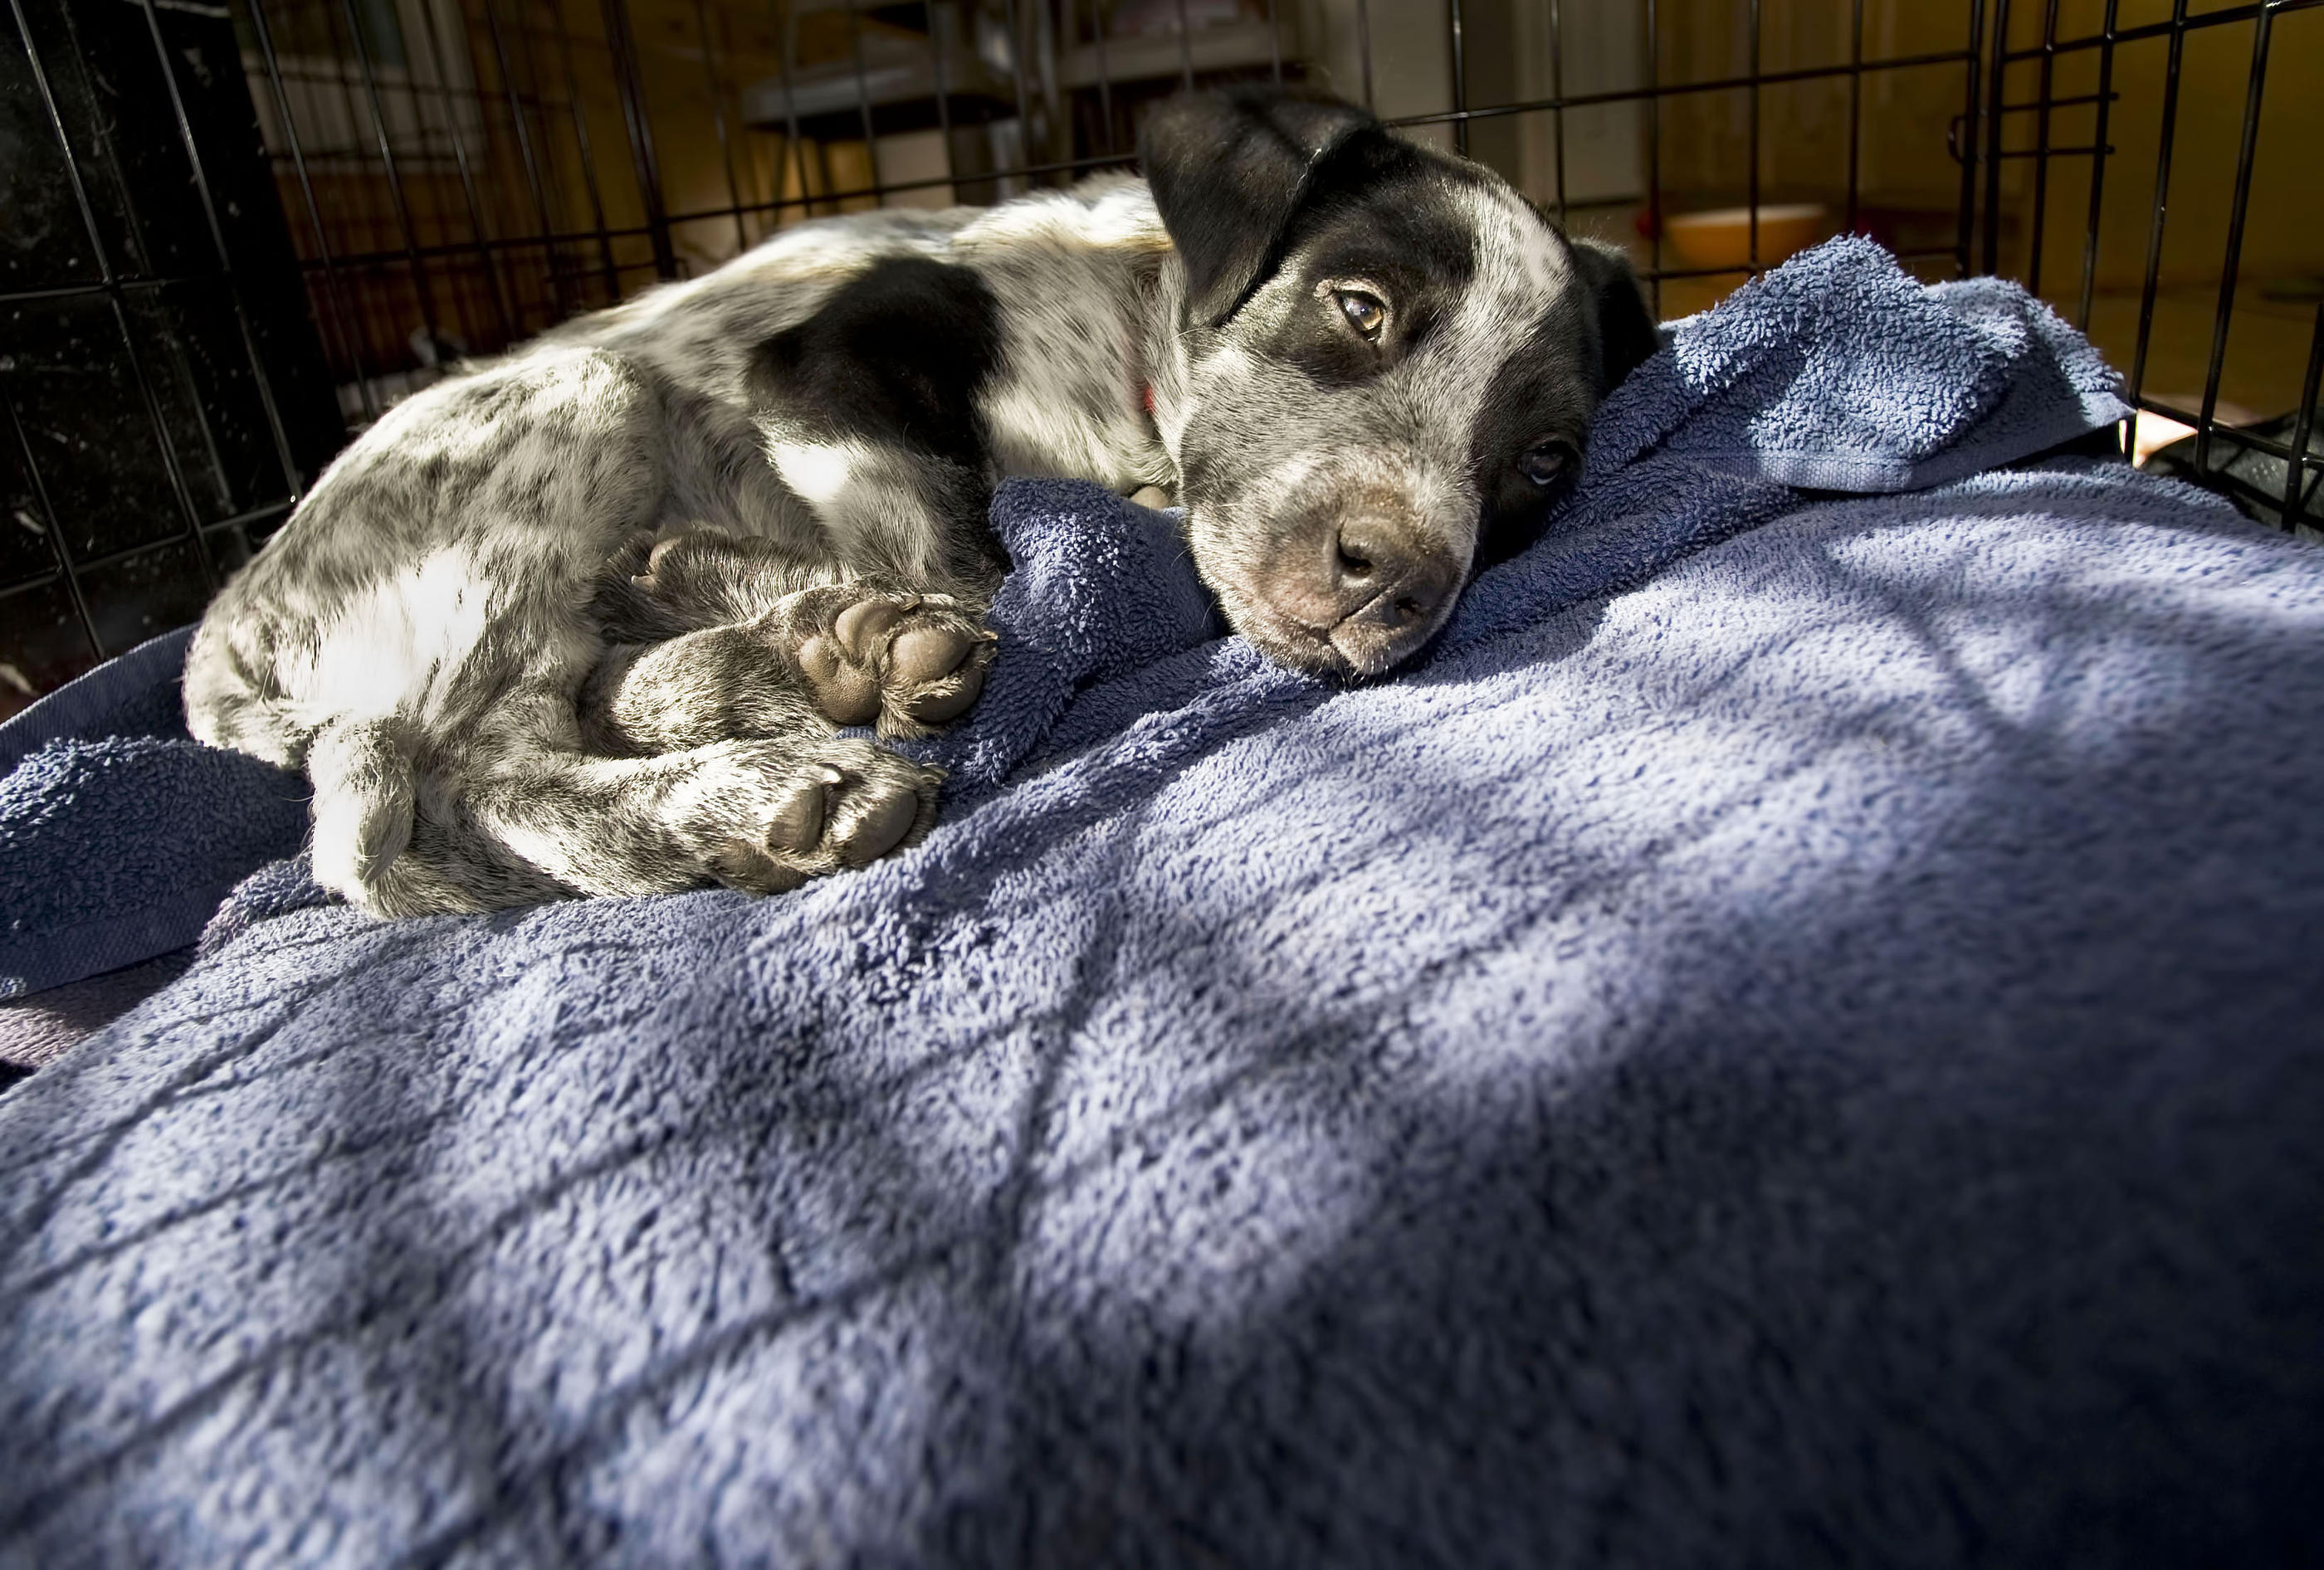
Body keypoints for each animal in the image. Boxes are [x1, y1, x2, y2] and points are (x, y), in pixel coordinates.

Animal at [190, 85, 1663, 914]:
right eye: (1360, 308)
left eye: (1543, 466)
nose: (1400, 582)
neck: (1126, 386)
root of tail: (221, 641)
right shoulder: (833, 362)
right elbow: (962, 548)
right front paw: (890, 628)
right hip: (579, 400)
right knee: (447, 799)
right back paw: (764, 760)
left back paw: (768, 665)